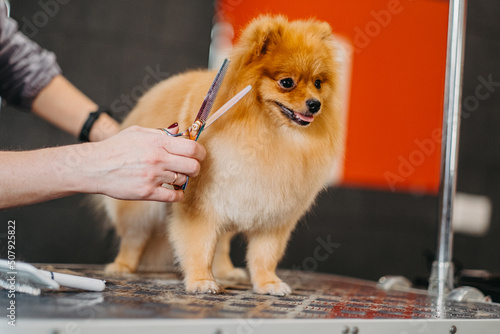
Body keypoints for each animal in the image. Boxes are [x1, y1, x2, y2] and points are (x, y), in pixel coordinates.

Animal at [100, 15, 344, 294]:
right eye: (287, 82)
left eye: (318, 83)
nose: (315, 104)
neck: (271, 133)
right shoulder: (199, 207)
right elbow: (200, 246)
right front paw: (201, 280)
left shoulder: (273, 215)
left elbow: (264, 255)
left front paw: (268, 283)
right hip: (140, 210)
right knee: (133, 238)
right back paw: (122, 266)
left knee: (222, 243)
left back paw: (227, 271)